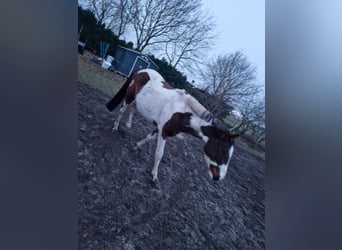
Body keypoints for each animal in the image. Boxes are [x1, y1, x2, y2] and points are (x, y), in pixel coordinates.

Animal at [105, 68, 239, 182]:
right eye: (222, 150)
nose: (218, 177)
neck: (182, 112)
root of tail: (141, 70)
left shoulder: (161, 129)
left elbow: (149, 137)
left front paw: (137, 146)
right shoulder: (163, 132)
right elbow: (159, 154)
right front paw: (154, 175)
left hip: (137, 101)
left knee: (133, 109)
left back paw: (128, 125)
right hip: (129, 97)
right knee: (122, 110)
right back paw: (115, 127)